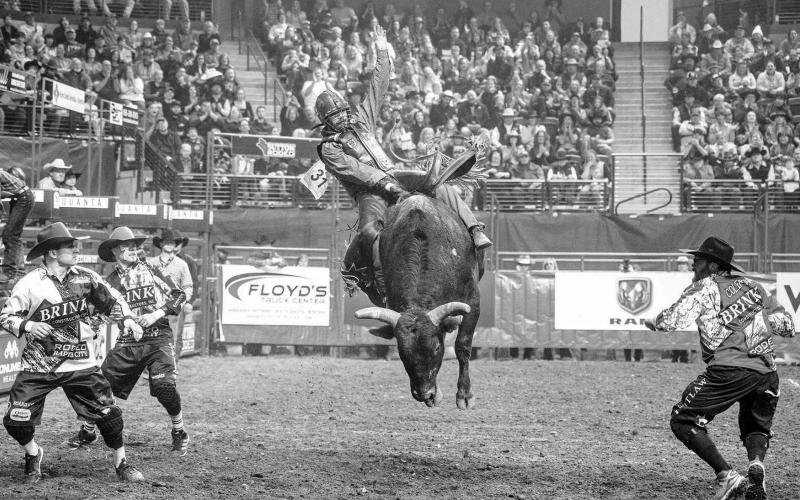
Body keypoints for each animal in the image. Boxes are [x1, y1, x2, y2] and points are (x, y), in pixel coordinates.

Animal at [354, 194, 483, 409]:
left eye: (437, 348)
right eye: (402, 351)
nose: (424, 393)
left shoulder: (472, 302)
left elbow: (463, 347)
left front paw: (465, 395)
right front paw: (436, 394)